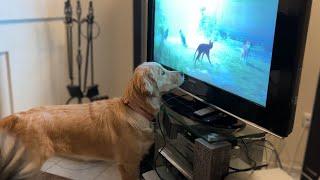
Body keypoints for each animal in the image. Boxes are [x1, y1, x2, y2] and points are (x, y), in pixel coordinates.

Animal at [0, 61, 184, 179]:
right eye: (162, 72)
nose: (183, 73)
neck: (133, 109)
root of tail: (20, 115)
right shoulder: (129, 163)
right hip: (29, 164)